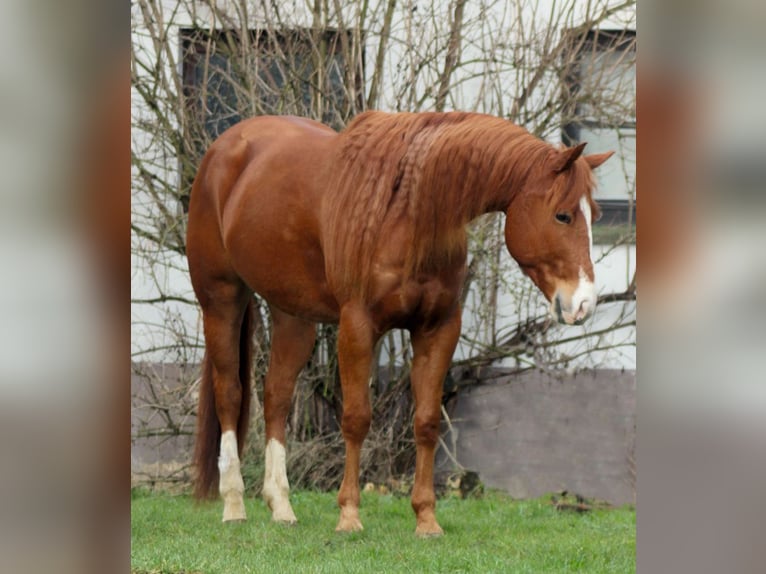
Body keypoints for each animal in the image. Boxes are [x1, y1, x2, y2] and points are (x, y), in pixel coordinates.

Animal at [186, 111, 612, 536]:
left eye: (596, 216)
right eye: (563, 215)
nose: (584, 303)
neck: (408, 213)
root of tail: (224, 147)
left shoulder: (438, 329)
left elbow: (426, 422)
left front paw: (426, 518)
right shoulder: (357, 327)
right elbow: (357, 419)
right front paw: (349, 514)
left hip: (293, 315)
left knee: (276, 395)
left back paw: (281, 506)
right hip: (221, 299)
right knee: (231, 393)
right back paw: (234, 504)